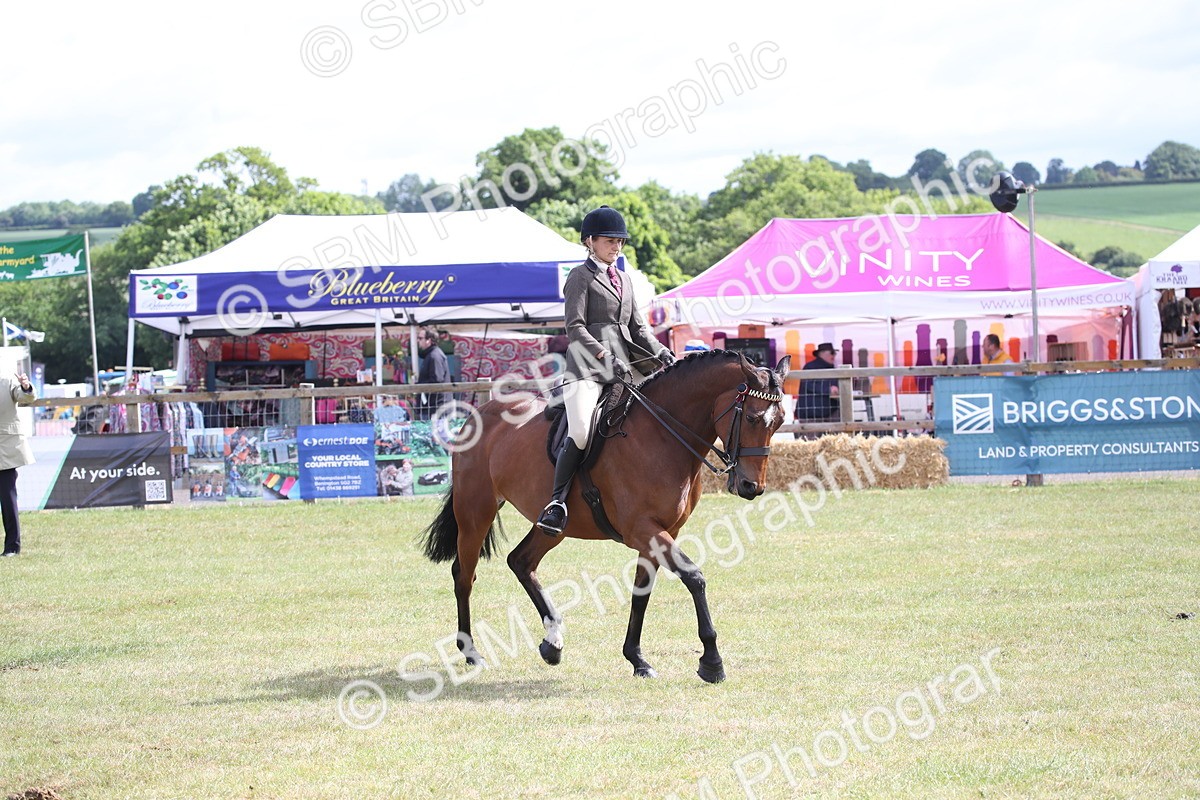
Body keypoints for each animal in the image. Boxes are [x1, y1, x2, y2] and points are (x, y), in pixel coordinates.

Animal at [420, 349, 791, 682]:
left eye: (779, 421)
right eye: (753, 418)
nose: (751, 486)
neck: (662, 435)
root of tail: (480, 412)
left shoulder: (660, 532)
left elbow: (641, 593)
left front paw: (637, 660)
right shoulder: (642, 528)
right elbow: (694, 577)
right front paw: (712, 663)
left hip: (553, 525)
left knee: (521, 561)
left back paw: (552, 643)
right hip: (475, 512)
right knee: (464, 576)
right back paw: (471, 653)